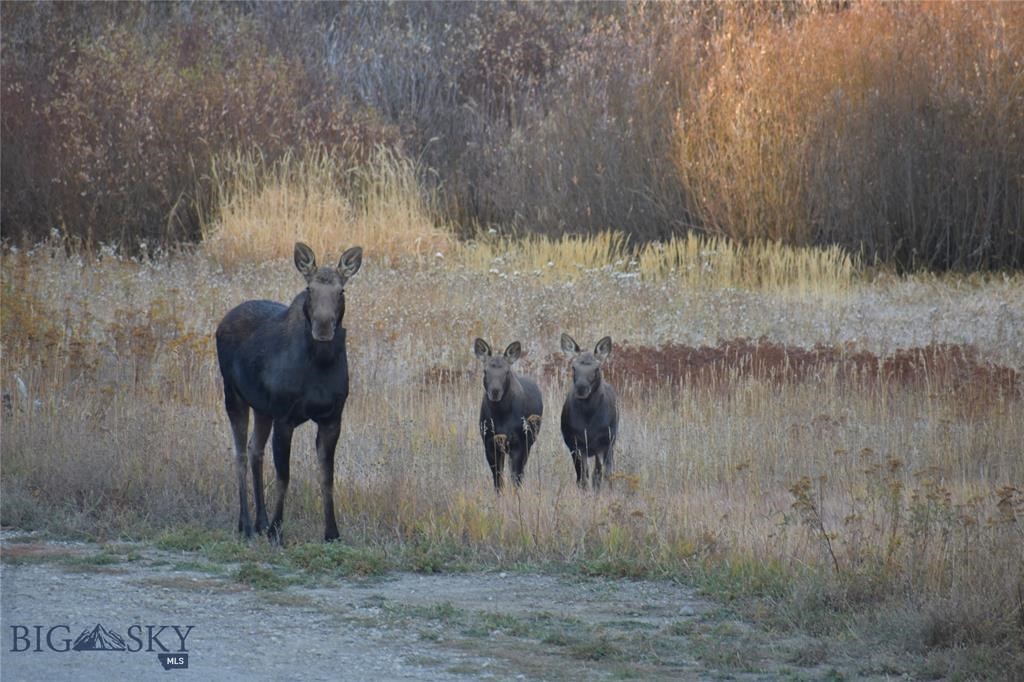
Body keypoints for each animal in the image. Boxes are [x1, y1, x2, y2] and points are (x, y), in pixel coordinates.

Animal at [215, 242, 362, 544]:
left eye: (341, 291)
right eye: (309, 289)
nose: (323, 326)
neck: (320, 364)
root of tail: (222, 321)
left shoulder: (332, 418)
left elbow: (327, 477)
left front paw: (332, 533)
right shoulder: (285, 416)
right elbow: (284, 476)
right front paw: (276, 530)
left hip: (262, 408)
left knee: (254, 449)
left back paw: (258, 521)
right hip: (233, 395)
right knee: (240, 454)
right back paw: (246, 525)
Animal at [474, 339, 543, 492]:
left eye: (506, 371)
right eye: (485, 371)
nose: (495, 391)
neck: (500, 415)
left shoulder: (518, 443)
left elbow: (515, 477)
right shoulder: (489, 442)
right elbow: (497, 478)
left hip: (528, 442)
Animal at [560, 334, 619, 491]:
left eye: (596, 368)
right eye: (574, 367)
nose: (581, 388)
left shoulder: (603, 442)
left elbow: (598, 475)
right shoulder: (575, 444)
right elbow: (582, 477)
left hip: (611, 443)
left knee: (606, 472)